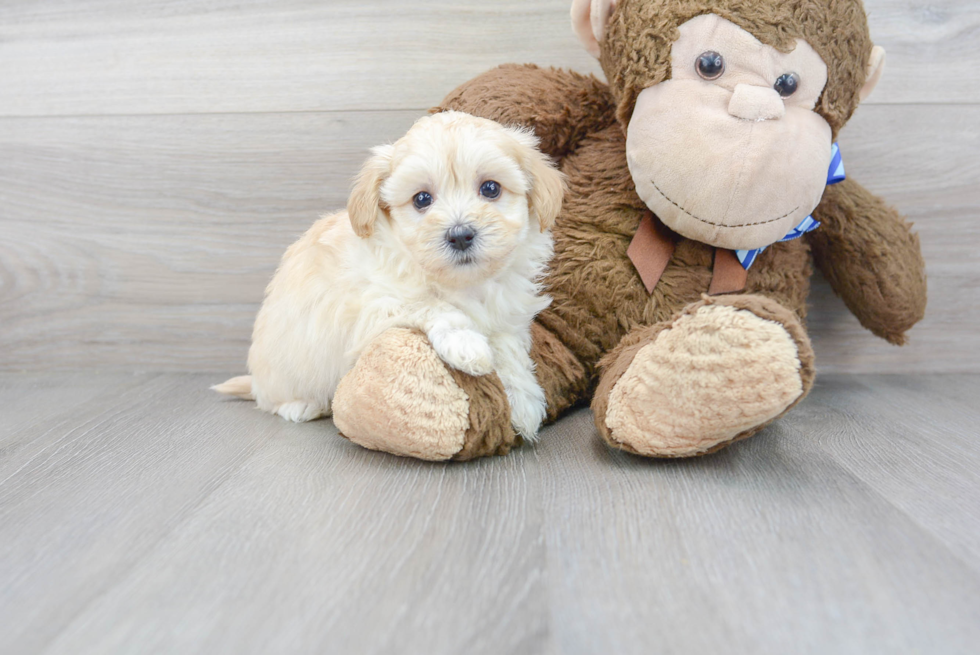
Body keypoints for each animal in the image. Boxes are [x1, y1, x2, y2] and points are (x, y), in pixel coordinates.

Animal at [216, 111, 568, 440]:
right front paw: (468, 344)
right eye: (422, 199)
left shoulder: (507, 316)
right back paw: (300, 405)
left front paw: (524, 403)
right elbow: (434, 306)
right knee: (273, 400)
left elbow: (509, 350)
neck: (461, 283)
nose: (460, 235)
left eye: (491, 188)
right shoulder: (373, 305)